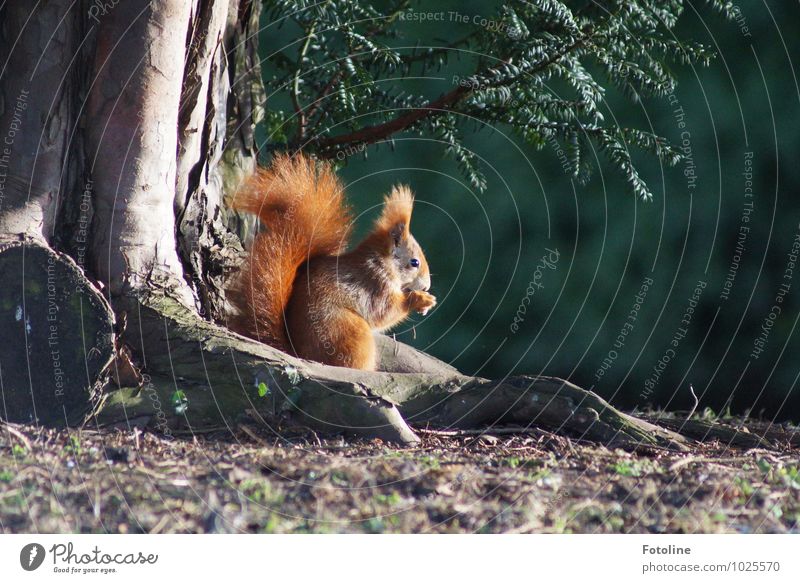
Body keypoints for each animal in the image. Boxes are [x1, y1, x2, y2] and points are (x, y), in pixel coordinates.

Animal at [228, 154, 434, 370]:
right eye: (414, 262)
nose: (427, 286)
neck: (382, 262)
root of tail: (301, 353)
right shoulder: (375, 285)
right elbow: (384, 312)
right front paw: (421, 300)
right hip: (351, 331)